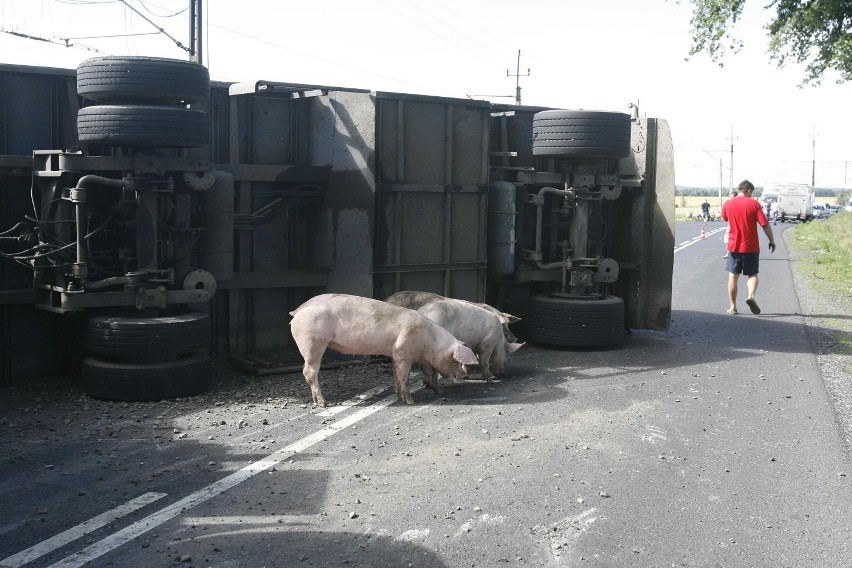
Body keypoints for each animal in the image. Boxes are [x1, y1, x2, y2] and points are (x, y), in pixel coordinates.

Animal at [290, 296, 480, 406]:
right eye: (455, 360)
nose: (465, 374)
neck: (429, 341)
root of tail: (297, 310)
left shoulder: (395, 354)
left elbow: (396, 375)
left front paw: (398, 396)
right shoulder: (403, 352)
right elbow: (404, 378)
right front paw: (410, 402)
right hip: (312, 341)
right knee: (309, 371)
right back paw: (323, 403)